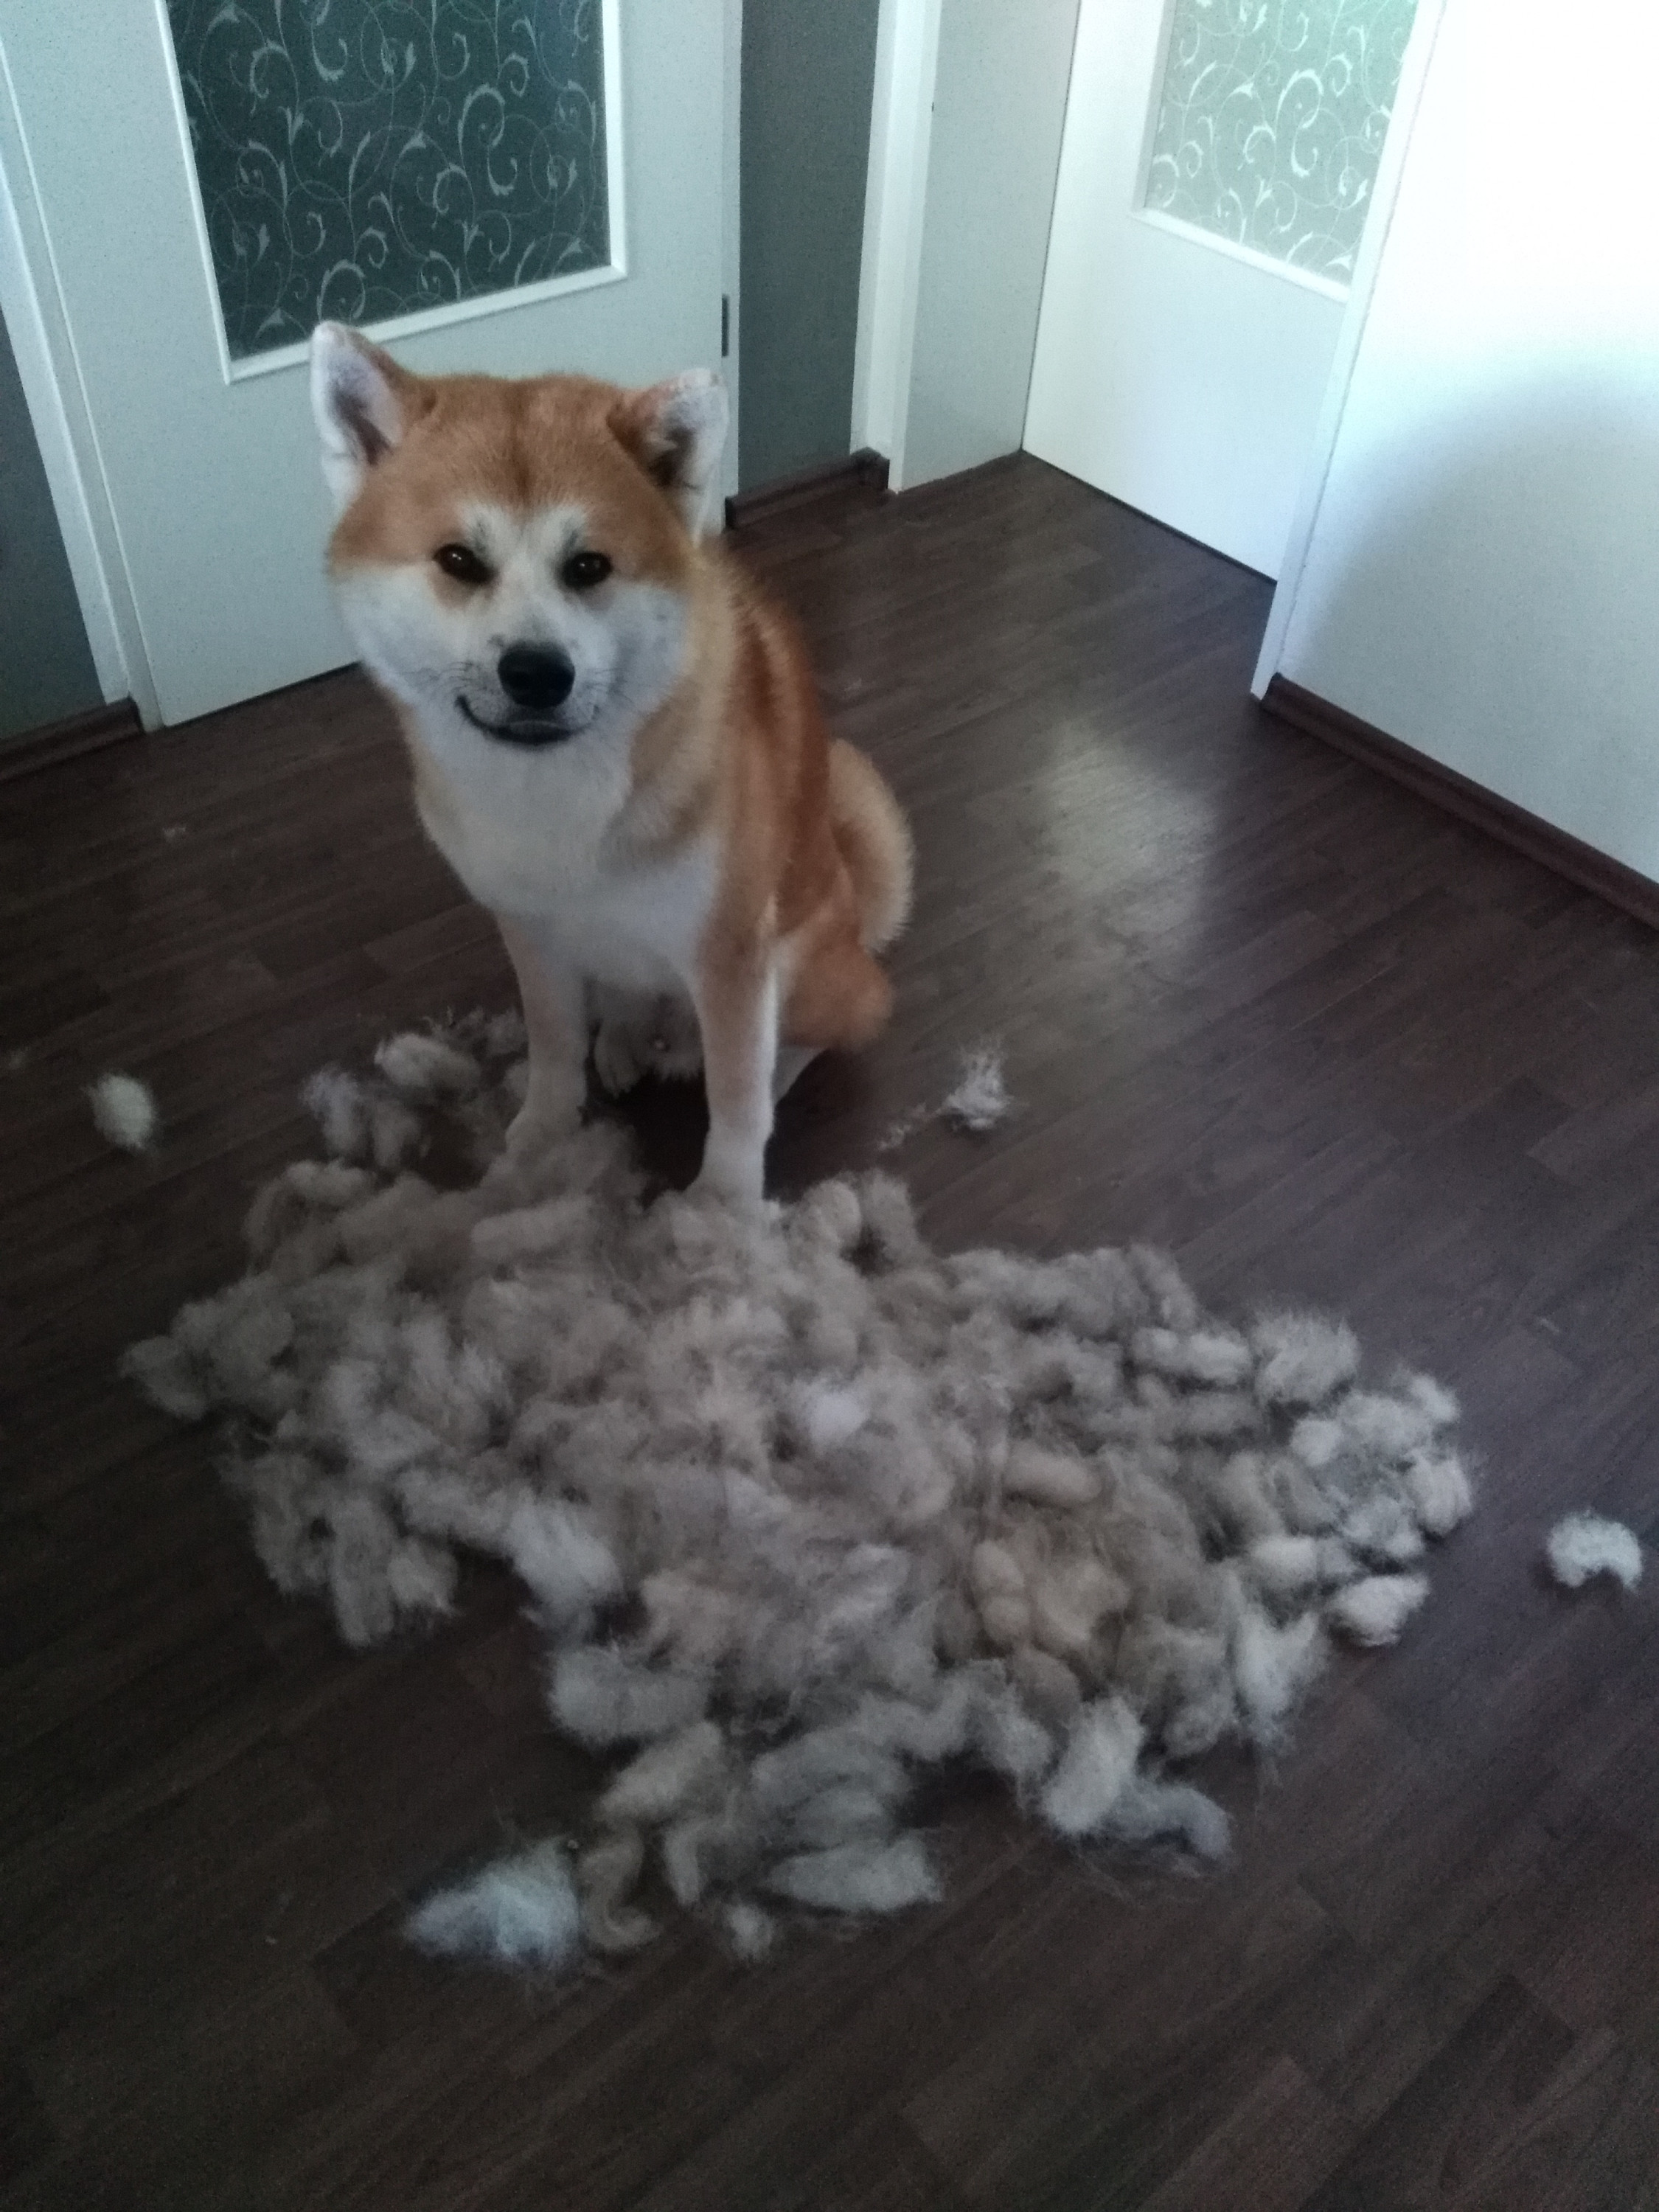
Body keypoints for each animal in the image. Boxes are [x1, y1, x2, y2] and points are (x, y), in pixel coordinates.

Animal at [309, 325, 912, 1203]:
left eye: (588, 566)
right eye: (459, 560)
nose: (535, 671)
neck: (557, 795)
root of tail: (859, 920)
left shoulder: (732, 955)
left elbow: (734, 1095)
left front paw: (725, 1204)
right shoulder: (532, 933)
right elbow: (554, 1048)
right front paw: (538, 1142)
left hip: (811, 972)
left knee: (816, 1036)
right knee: (627, 1004)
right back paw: (624, 1042)